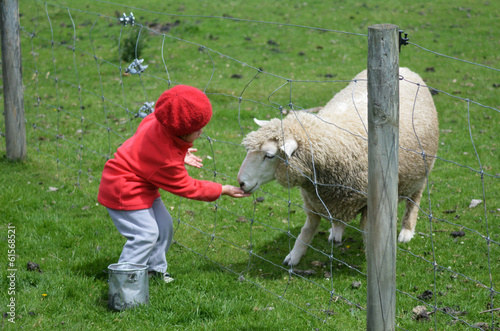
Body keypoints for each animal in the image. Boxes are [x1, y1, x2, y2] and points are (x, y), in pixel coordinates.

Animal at [237, 67, 438, 268]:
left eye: (269, 155)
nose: (241, 182)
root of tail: (405, 69)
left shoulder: (368, 204)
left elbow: (369, 238)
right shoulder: (315, 199)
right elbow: (308, 228)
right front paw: (294, 256)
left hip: (421, 172)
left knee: (414, 200)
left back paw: (406, 231)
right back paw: (336, 231)